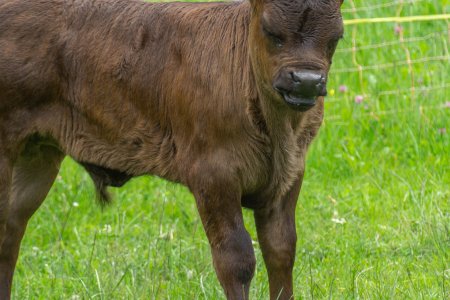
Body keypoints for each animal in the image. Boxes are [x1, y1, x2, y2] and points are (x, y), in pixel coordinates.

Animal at [0, 0, 344, 298]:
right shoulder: (212, 175)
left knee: (11, 231)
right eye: (271, 31)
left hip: (38, 154)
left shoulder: (289, 175)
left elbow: (281, 251)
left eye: (336, 36)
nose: (306, 81)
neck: (279, 131)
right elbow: (236, 259)